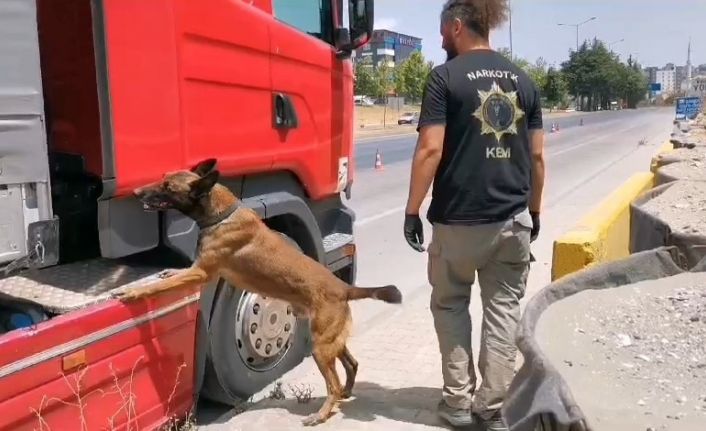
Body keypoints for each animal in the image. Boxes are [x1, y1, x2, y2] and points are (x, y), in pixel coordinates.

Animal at [115, 160, 402, 426]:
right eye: (163, 179)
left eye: (167, 187)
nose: (137, 192)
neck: (221, 213)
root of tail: (343, 288)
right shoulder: (197, 269)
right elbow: (176, 274)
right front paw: (166, 272)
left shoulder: (202, 273)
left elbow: (159, 285)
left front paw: (134, 292)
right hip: (331, 340)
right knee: (351, 365)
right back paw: (346, 393)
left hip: (321, 346)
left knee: (333, 383)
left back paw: (321, 414)